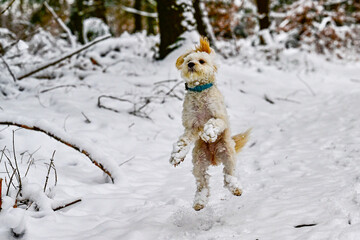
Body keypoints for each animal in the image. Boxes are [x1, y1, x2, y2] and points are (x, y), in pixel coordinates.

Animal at [169, 36, 250, 211]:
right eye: (188, 60)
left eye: (201, 61)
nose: (191, 64)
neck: (199, 90)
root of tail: (214, 157)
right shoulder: (191, 126)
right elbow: (183, 141)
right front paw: (177, 155)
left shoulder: (220, 117)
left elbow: (214, 122)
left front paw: (209, 133)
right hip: (199, 161)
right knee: (203, 183)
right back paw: (199, 201)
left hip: (228, 155)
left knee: (228, 176)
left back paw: (235, 187)